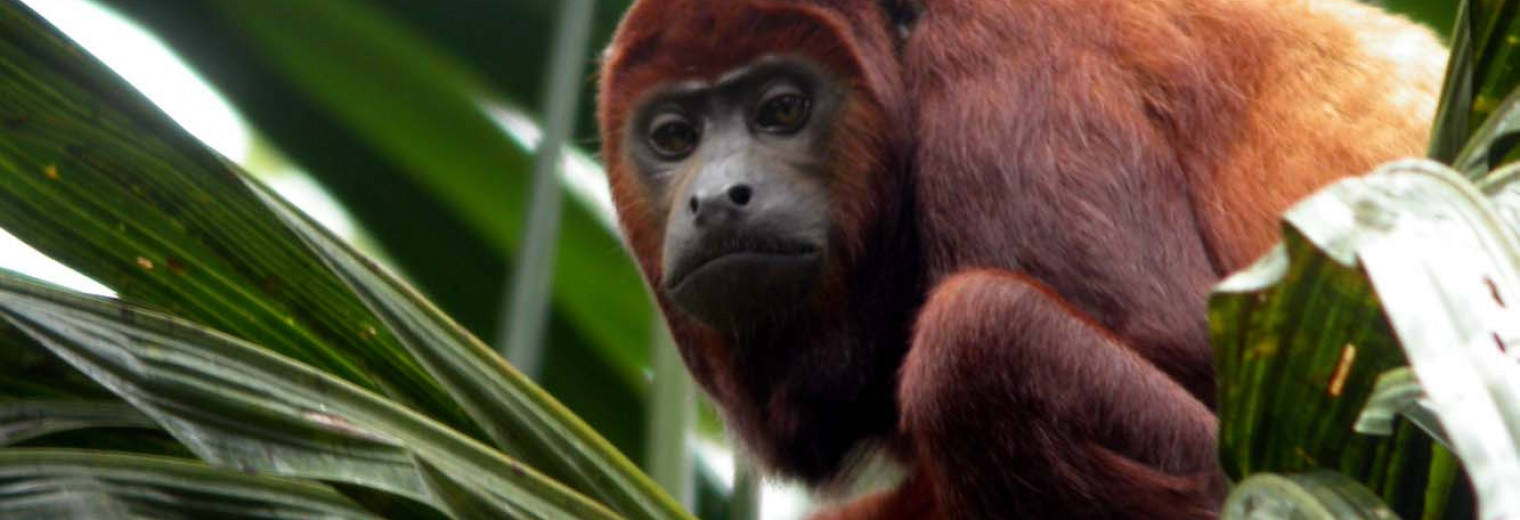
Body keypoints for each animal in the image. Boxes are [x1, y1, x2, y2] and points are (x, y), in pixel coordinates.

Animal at [592, 2, 1447, 516]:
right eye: (674, 136)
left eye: (782, 110)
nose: (717, 197)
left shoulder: (1005, 64)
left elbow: (1186, 348)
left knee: (981, 335)